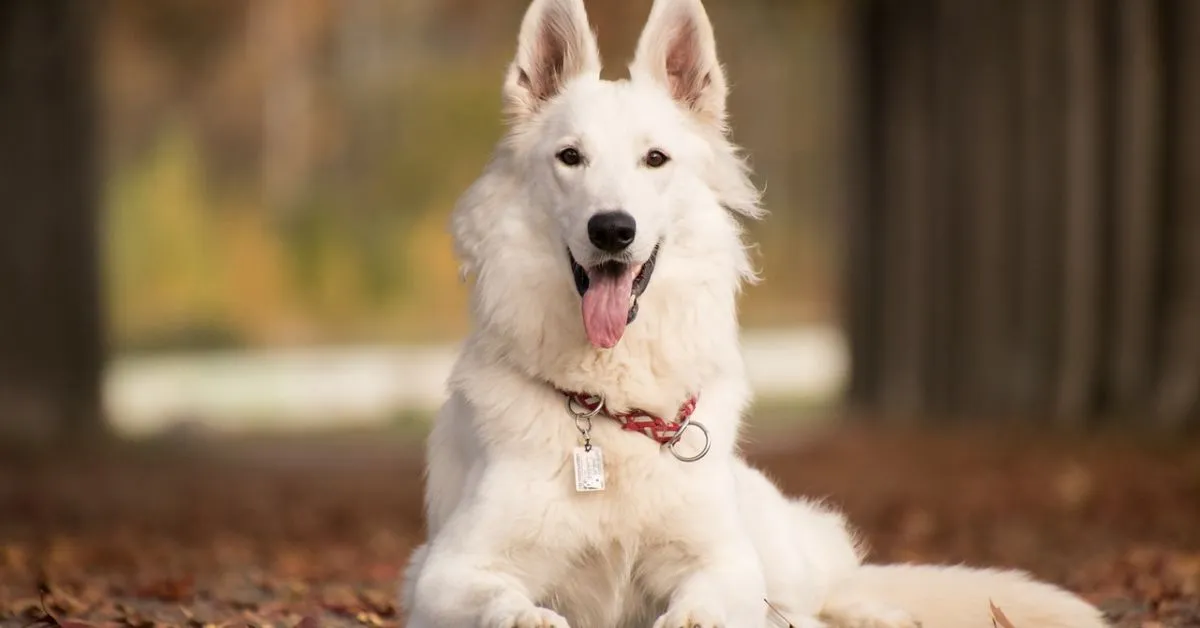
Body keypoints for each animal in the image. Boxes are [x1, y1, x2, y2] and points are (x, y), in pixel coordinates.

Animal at [398, 1, 1108, 628]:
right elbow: (502, 599)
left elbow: (708, 600)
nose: (612, 230)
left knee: (827, 594)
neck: (607, 408)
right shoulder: (443, 568)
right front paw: (529, 616)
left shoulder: (724, 561)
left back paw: (877, 613)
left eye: (655, 159)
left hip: (777, 543)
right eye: (570, 157)